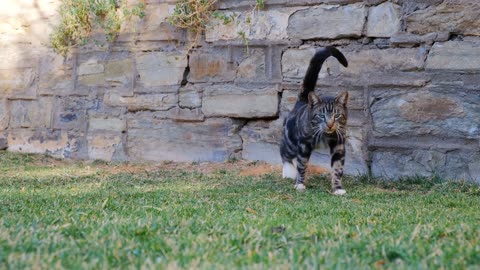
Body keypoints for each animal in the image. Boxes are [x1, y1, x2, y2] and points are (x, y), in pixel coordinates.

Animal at [282, 46, 348, 194]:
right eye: (321, 116)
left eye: (337, 116)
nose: (330, 125)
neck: (325, 135)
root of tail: (302, 101)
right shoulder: (303, 144)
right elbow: (302, 164)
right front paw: (300, 184)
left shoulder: (339, 143)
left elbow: (337, 167)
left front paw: (338, 188)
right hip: (290, 138)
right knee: (285, 152)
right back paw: (288, 171)